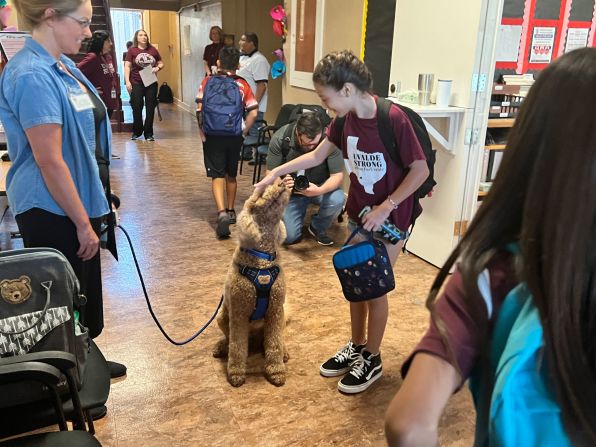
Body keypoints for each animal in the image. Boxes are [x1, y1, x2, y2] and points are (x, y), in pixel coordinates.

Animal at [214, 184, 292, 386]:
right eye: (261, 192)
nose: (282, 180)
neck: (262, 258)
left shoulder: (275, 311)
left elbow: (274, 344)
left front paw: (276, 371)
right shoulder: (239, 313)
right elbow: (237, 347)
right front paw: (235, 373)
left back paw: (284, 351)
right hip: (221, 318)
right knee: (229, 338)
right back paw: (221, 347)